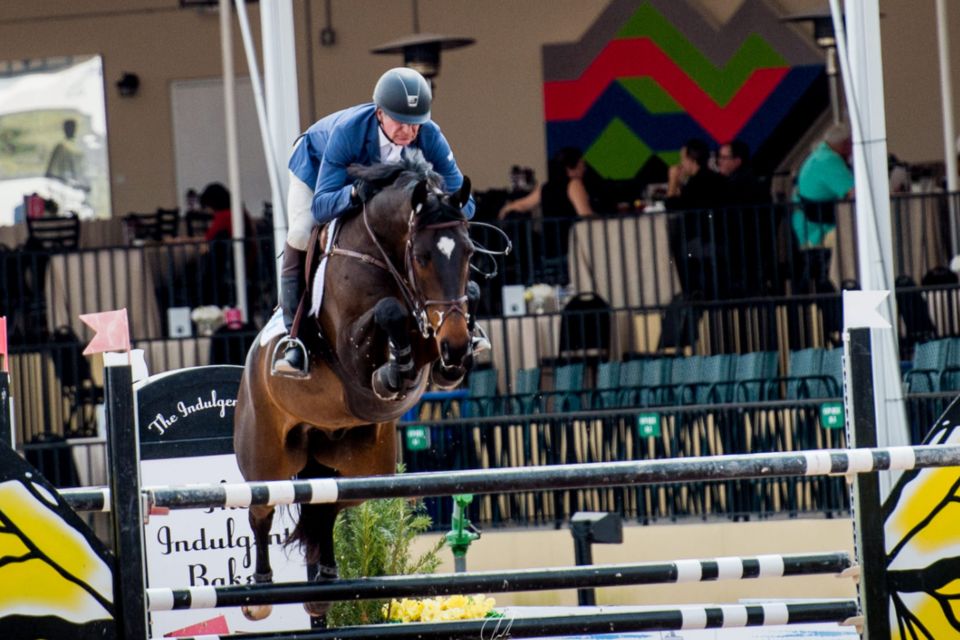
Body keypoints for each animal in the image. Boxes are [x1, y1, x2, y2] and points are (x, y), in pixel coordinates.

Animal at [236, 156, 476, 620]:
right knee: (261, 508)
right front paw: (393, 372)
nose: (455, 346)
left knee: (328, 506)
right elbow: (388, 312)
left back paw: (325, 581)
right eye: (421, 257)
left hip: (359, 466)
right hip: (267, 455)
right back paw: (260, 594)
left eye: (469, 252)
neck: (382, 254)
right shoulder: (350, 350)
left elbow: (419, 330)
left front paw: (440, 362)